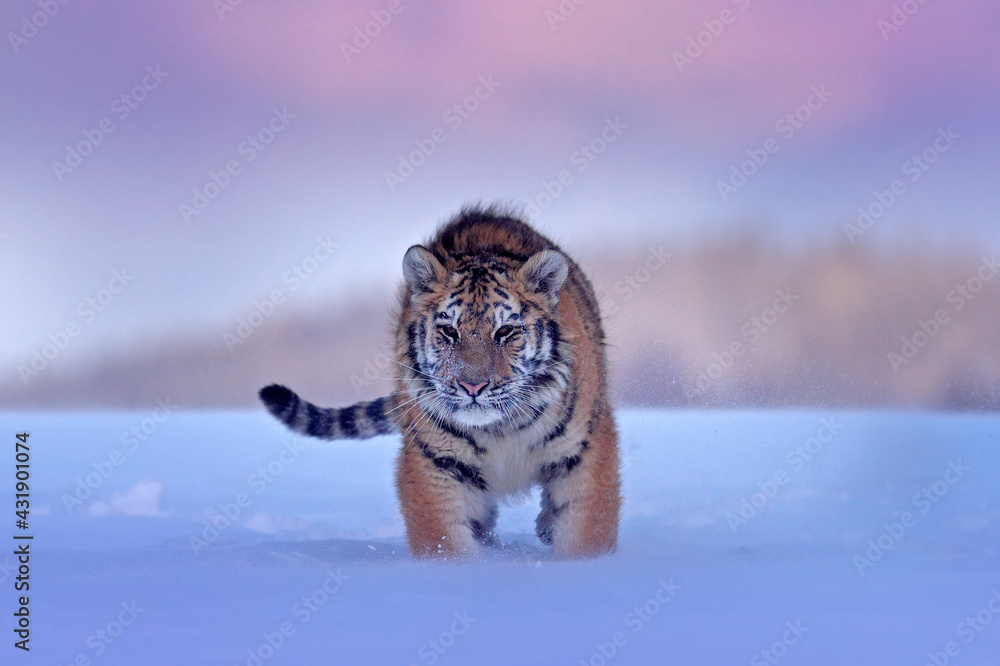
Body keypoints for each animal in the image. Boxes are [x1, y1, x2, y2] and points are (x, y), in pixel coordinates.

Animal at [260, 204, 616, 556]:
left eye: (505, 332)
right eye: (449, 331)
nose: (472, 386)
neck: (500, 430)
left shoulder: (585, 450)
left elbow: (588, 531)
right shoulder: (436, 460)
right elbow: (443, 540)